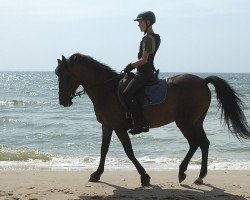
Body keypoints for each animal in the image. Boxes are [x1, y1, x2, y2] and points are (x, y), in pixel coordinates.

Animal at [55, 52, 250, 186]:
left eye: (64, 75)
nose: (62, 101)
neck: (107, 90)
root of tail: (202, 81)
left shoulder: (118, 127)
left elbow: (128, 151)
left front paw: (145, 176)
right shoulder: (107, 126)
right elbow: (103, 150)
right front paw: (96, 174)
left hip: (185, 122)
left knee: (196, 143)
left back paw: (184, 173)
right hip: (195, 122)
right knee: (203, 143)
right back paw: (198, 176)